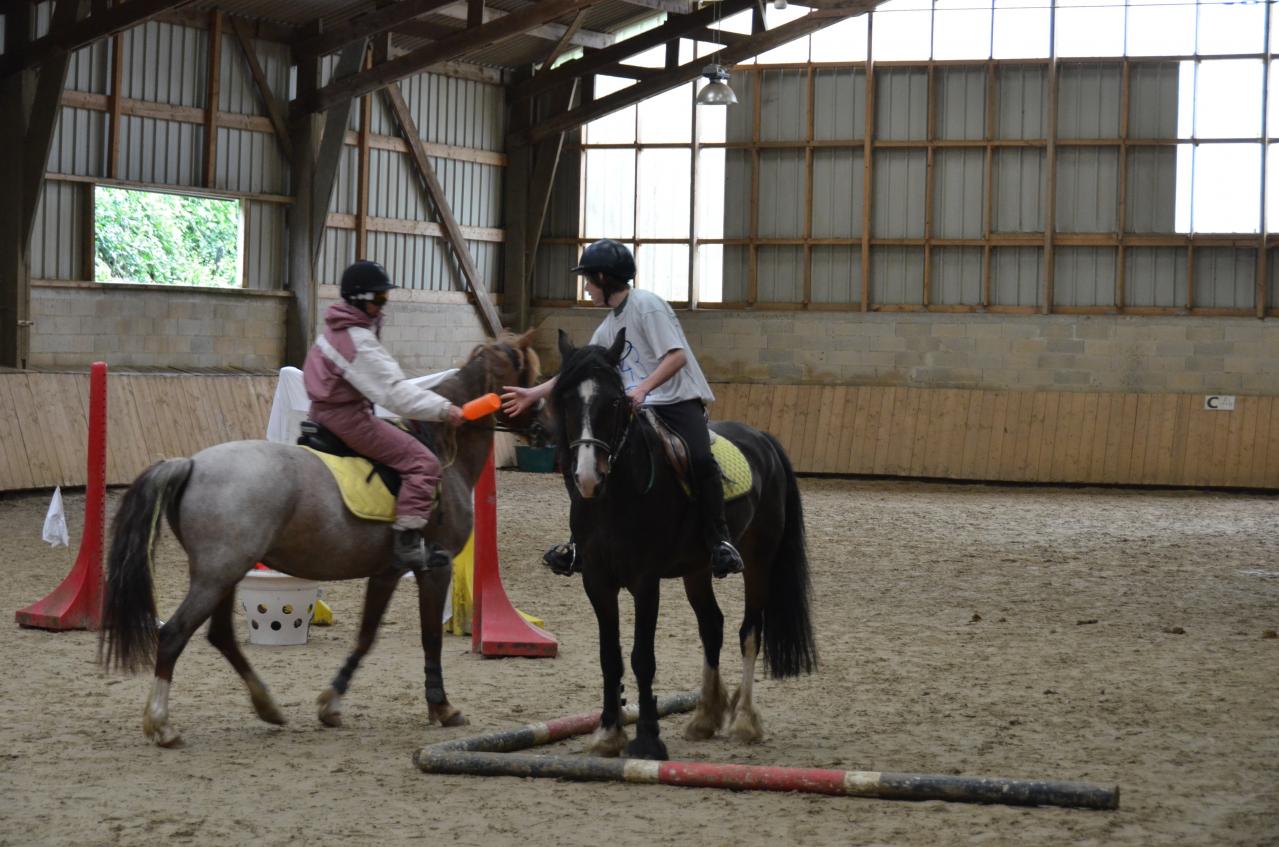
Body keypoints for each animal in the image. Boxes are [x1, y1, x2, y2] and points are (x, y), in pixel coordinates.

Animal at [99, 332, 539, 752]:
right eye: (528, 373)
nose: (540, 426)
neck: (444, 450)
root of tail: (191, 463)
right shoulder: (435, 569)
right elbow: (430, 638)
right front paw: (442, 707)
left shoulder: (387, 571)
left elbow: (366, 636)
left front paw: (331, 703)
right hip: (216, 575)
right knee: (174, 634)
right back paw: (162, 725)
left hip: (224, 574)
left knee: (220, 635)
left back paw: (267, 706)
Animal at [552, 327, 818, 757]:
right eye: (565, 400)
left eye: (614, 401)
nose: (588, 478)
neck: (617, 496)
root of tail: (762, 437)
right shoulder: (596, 580)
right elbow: (610, 657)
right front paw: (608, 733)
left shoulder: (645, 582)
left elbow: (642, 657)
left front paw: (647, 739)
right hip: (697, 569)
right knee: (712, 626)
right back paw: (704, 717)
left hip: (759, 560)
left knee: (750, 632)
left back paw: (745, 721)